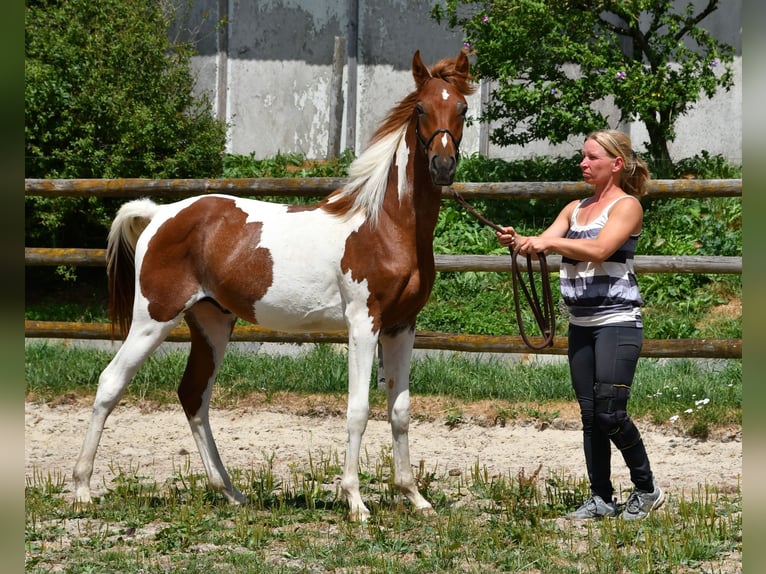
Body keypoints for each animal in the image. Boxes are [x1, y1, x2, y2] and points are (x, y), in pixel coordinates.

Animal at [72, 49, 474, 521]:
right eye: (420, 109)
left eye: (462, 109)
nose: (443, 167)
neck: (384, 225)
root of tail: (158, 214)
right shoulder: (364, 324)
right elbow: (358, 409)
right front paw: (355, 502)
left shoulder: (402, 326)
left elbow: (401, 411)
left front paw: (415, 497)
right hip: (153, 318)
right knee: (110, 383)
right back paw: (81, 489)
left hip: (211, 323)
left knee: (194, 395)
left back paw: (230, 492)